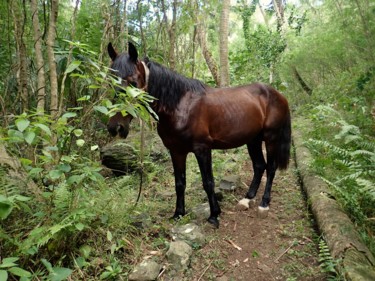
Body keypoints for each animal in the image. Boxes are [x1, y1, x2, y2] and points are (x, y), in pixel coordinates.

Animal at [107, 41, 292, 226]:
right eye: (109, 82)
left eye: (133, 82)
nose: (115, 127)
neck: (181, 106)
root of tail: (278, 94)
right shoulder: (176, 151)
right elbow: (180, 183)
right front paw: (178, 213)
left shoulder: (202, 149)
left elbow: (208, 182)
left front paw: (214, 215)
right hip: (253, 140)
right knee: (259, 166)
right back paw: (247, 199)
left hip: (271, 138)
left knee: (271, 168)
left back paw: (264, 204)